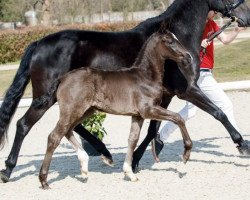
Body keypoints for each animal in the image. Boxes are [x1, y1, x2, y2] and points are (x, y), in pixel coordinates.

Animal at [37, 31, 193, 189]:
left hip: (86, 111)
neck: (145, 77)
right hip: (73, 111)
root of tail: (62, 78)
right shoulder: (148, 110)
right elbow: (178, 117)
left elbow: (132, 139)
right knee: (55, 136)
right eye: (170, 41)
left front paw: (130, 173)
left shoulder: (138, 115)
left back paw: (84, 167)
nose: (188, 57)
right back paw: (44, 180)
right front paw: (186, 154)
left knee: (68, 130)